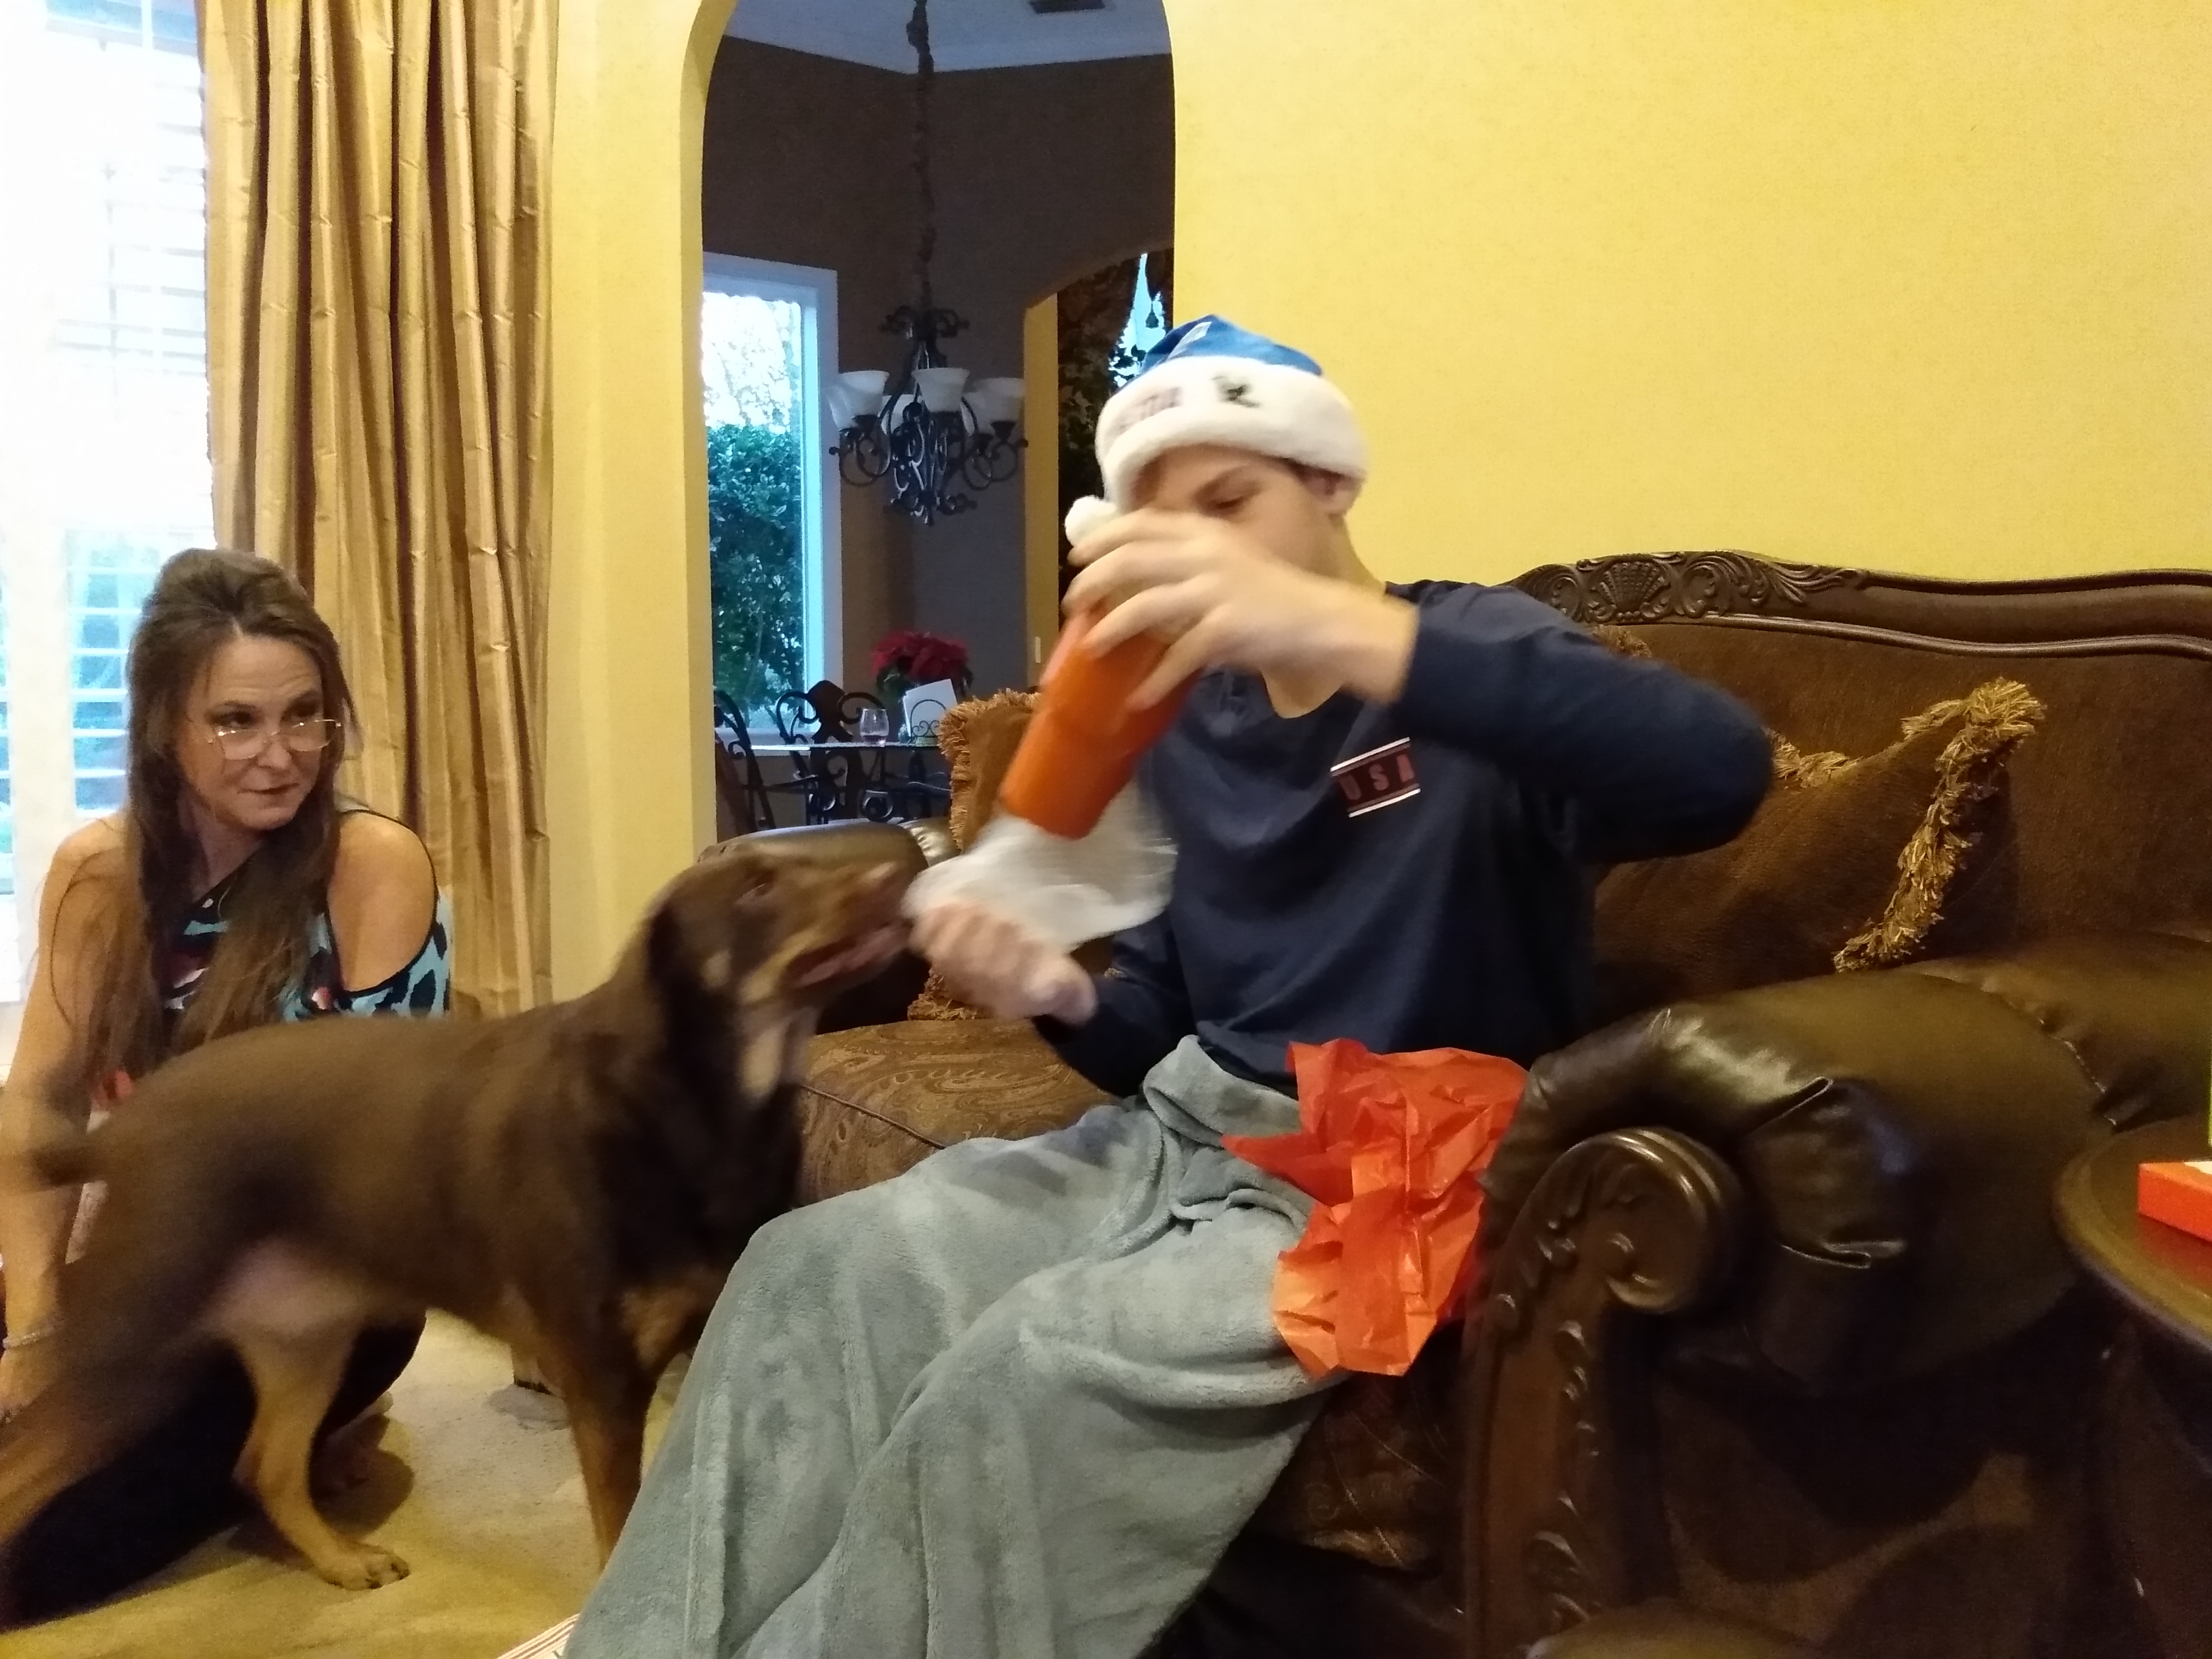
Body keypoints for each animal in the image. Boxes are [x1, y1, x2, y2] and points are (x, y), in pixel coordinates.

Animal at [0, 844, 907, 1600]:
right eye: (757, 888)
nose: (895, 866)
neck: (694, 1100)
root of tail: (121, 1133)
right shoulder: (603, 1380)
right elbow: (619, 1525)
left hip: (305, 1336)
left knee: (267, 1466)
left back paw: (341, 1560)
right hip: (133, 1350)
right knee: (23, 1475)